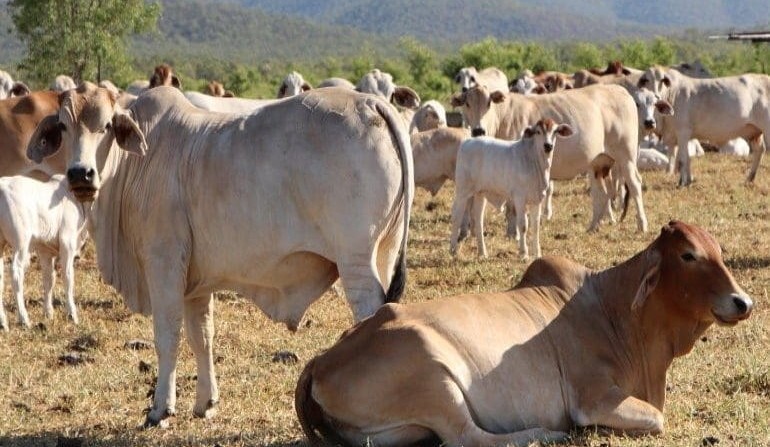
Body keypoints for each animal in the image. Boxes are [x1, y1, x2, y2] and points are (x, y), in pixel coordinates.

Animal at [0, 175, 88, 330]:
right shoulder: (67, 243)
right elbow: (68, 277)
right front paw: (72, 314)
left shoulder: (45, 251)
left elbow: (49, 278)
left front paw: (48, 313)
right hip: (21, 241)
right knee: (16, 273)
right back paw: (24, 319)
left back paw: (3, 323)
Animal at [27, 83, 413, 427]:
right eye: (64, 125)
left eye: (106, 126)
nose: (81, 174)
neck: (136, 164)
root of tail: (370, 103)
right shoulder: (194, 284)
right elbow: (202, 338)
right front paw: (205, 403)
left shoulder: (163, 263)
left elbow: (167, 337)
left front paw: (160, 409)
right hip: (384, 251)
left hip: (356, 261)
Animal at [296, 221, 752, 447]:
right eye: (688, 255)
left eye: (719, 250)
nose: (742, 302)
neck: (615, 311)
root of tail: (321, 360)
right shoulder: (594, 396)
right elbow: (656, 418)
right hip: (435, 377)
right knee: (468, 439)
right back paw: (545, 434)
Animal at [452, 84, 646, 232]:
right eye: (467, 103)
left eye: (489, 103)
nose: (478, 130)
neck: (504, 119)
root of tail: (621, 90)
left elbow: (513, 205)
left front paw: (513, 231)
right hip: (597, 163)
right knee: (601, 193)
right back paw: (593, 227)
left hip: (626, 155)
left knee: (635, 184)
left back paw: (642, 224)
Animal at [638, 66, 770, 185]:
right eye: (646, 80)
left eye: (662, 80)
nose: (656, 95)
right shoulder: (678, 135)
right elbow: (687, 158)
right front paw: (688, 181)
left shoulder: (683, 131)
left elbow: (682, 159)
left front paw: (682, 183)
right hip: (754, 132)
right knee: (759, 150)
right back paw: (750, 178)